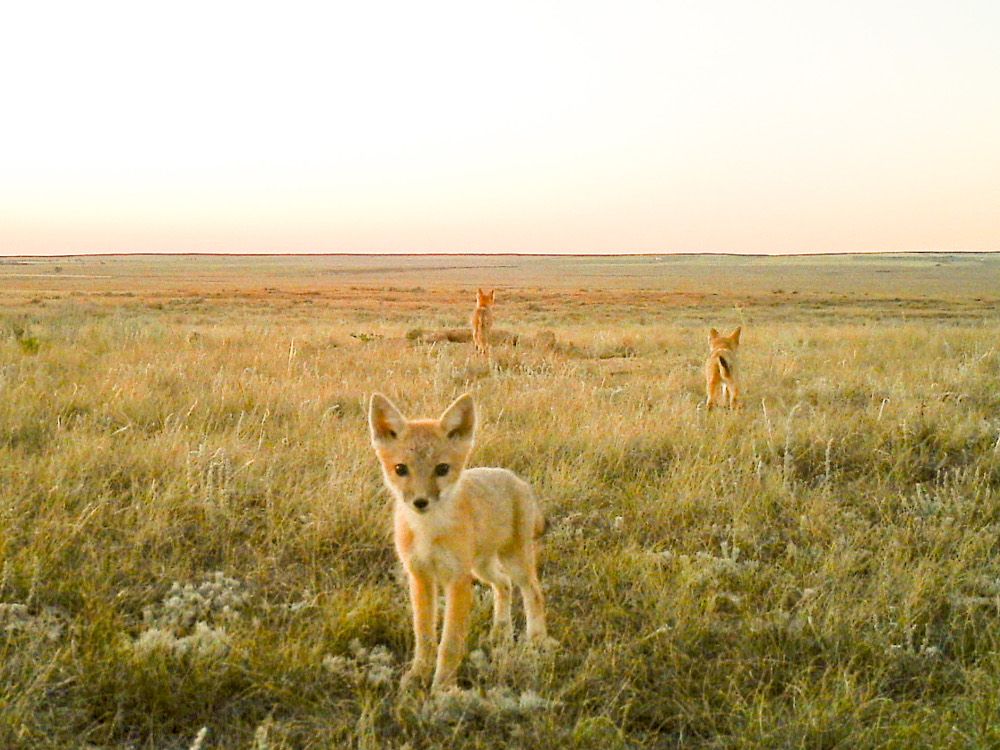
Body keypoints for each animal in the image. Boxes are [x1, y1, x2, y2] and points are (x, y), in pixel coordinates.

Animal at [368, 394, 548, 692]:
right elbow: (425, 637)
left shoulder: (458, 581)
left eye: (442, 469)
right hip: (482, 568)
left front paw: (443, 687)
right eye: (400, 469)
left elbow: (450, 642)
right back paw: (500, 632)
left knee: (533, 592)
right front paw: (418, 674)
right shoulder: (421, 578)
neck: (427, 532)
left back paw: (536, 640)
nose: (420, 502)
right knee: (504, 585)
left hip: (514, 563)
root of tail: (516, 478)